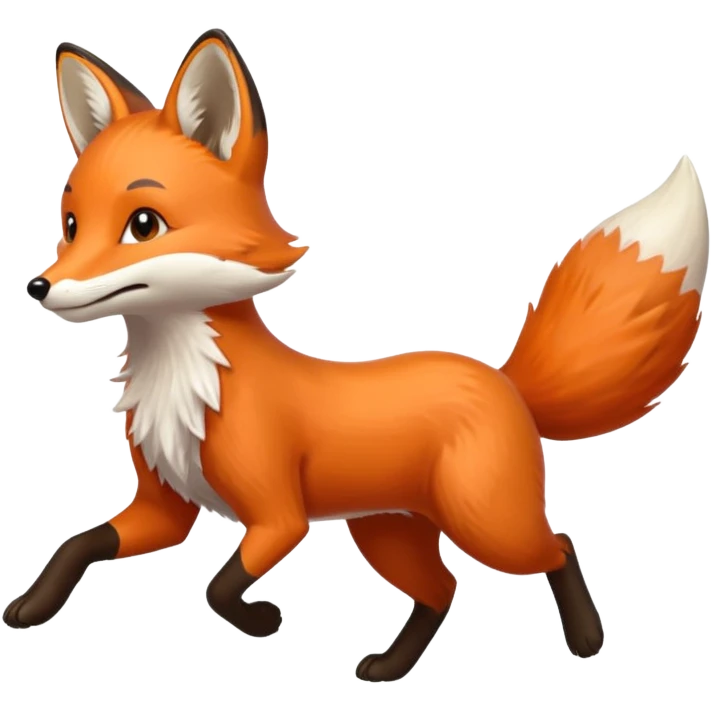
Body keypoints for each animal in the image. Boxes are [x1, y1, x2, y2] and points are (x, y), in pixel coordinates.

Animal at [8, 28, 709, 681]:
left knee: (557, 546)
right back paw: (391, 667)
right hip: (388, 533)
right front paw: (32, 606)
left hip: (487, 523)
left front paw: (261, 620)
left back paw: (587, 639)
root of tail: (503, 380)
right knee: (443, 591)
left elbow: (220, 588)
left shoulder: (278, 517)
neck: (188, 379)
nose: (39, 288)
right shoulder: (163, 508)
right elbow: (78, 544)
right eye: (71, 225)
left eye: (144, 225)